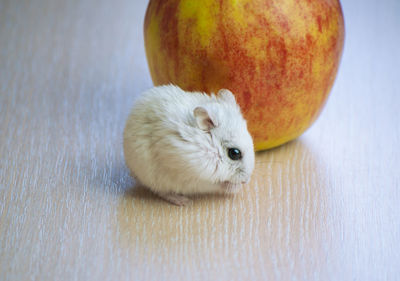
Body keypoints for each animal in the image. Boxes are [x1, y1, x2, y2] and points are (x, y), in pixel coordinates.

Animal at [123, 84, 255, 205]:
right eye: (234, 153)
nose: (247, 181)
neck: (208, 146)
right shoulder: (196, 175)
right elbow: (216, 182)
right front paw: (235, 188)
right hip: (155, 178)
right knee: (162, 192)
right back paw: (183, 201)